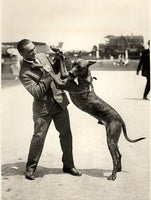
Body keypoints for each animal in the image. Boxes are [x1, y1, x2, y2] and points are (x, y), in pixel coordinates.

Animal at [44, 50, 145, 181]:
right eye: (73, 64)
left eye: (80, 67)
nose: (71, 73)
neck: (83, 80)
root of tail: (120, 119)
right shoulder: (65, 77)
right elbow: (63, 67)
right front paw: (59, 54)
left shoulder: (61, 83)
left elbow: (53, 75)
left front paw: (47, 67)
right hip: (114, 139)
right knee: (119, 154)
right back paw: (118, 170)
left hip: (110, 140)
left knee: (116, 157)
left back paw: (113, 175)